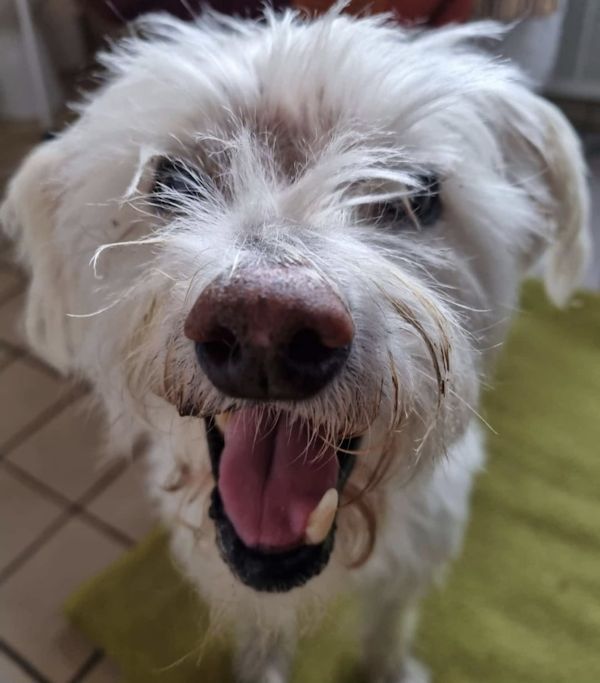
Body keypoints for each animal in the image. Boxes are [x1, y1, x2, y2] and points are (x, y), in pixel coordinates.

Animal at [1, 9, 590, 683]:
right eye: (170, 180)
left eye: (417, 195)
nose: (267, 322)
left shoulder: (415, 556)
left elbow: (388, 625)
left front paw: (389, 668)